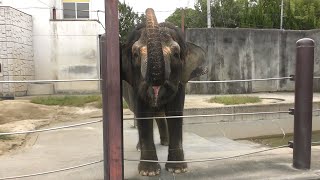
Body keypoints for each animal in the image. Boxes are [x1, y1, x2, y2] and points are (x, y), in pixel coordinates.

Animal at [120, 8, 208, 176]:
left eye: (175, 54)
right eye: (135, 54)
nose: (149, 9)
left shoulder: (180, 83)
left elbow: (175, 112)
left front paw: (177, 169)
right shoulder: (135, 85)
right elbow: (143, 113)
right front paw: (149, 172)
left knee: (160, 114)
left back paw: (165, 142)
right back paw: (140, 147)